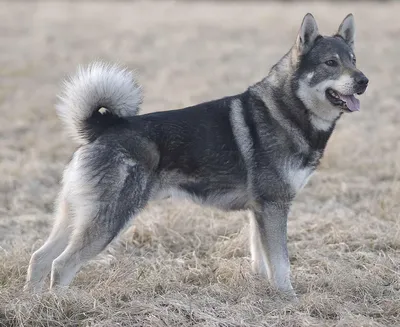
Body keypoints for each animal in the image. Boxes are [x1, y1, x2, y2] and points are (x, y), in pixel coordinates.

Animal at [25, 12, 368, 296]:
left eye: (353, 60)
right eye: (330, 63)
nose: (364, 81)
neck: (287, 110)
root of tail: (102, 128)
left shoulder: (260, 210)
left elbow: (263, 259)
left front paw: (263, 289)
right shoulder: (274, 206)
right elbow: (281, 263)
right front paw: (288, 299)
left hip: (75, 215)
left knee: (40, 258)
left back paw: (34, 303)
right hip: (109, 220)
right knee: (62, 265)